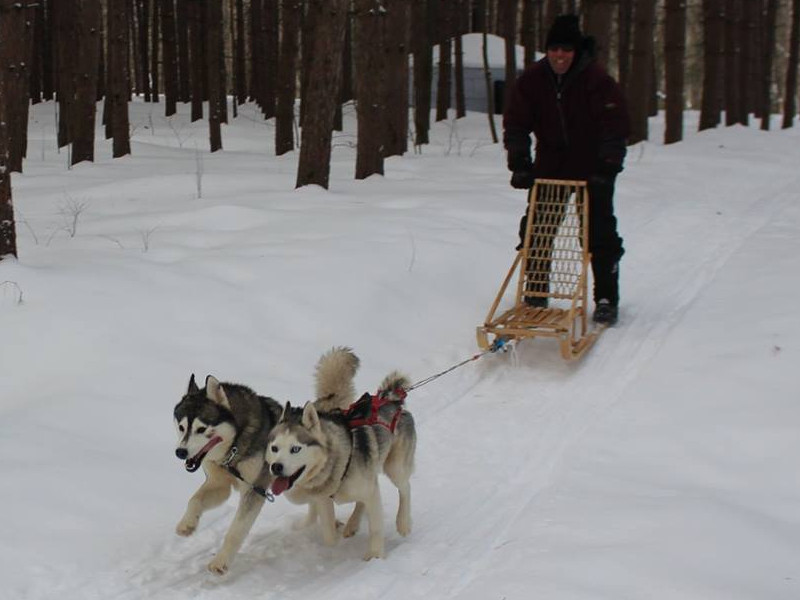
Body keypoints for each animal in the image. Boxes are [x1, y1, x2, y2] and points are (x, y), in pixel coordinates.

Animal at [173, 346, 358, 576]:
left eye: (201, 429)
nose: (180, 452)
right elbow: (195, 500)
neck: (235, 448)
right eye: (181, 427)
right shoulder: (219, 483)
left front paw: (220, 562)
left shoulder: (254, 489)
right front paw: (187, 524)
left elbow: (236, 530)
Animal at [268, 372, 418, 560]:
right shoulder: (323, 499)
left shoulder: (369, 492)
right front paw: (336, 530)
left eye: (295, 449)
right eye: (274, 448)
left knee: (405, 488)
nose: (276, 467)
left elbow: (376, 528)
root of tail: (390, 399)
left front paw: (375, 555)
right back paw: (352, 524)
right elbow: (329, 535)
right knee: (363, 501)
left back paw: (403, 522)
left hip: (395, 468)